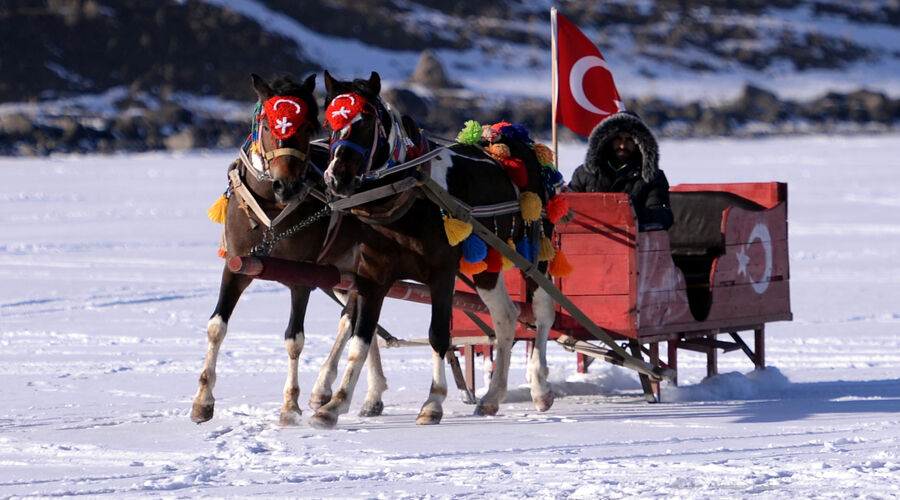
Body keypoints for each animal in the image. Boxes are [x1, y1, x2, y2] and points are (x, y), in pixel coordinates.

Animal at [312, 70, 560, 428]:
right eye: (328, 121)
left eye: (366, 121)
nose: (336, 178)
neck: (409, 199)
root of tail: (514, 141)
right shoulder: (372, 277)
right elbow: (360, 337)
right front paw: (334, 404)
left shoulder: (442, 274)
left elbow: (438, 335)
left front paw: (433, 402)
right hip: (487, 265)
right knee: (506, 317)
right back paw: (492, 396)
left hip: (533, 253)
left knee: (542, 311)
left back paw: (539, 387)